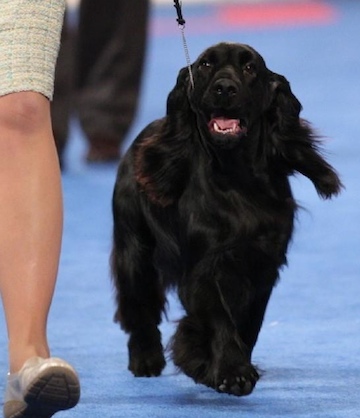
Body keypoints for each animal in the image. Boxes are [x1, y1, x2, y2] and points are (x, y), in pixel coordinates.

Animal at [111, 43, 342, 398]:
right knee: (138, 306)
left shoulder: (263, 265)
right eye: (206, 65)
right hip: (134, 249)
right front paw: (229, 371)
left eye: (250, 68)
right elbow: (219, 317)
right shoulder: (206, 265)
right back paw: (146, 359)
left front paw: (219, 365)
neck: (237, 177)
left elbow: (248, 323)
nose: (224, 88)